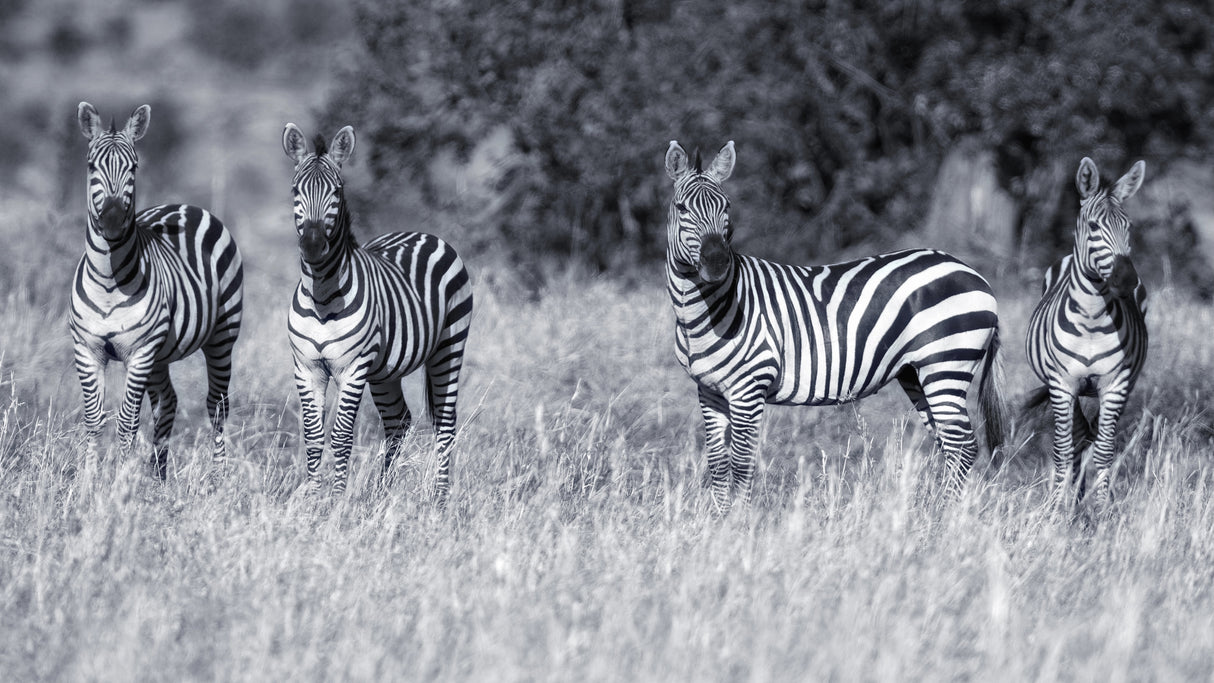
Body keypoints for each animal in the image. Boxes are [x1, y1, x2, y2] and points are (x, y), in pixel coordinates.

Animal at [71, 102, 244, 479]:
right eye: (91, 166)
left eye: (134, 167)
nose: (111, 221)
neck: (108, 281)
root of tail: (187, 205)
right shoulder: (87, 350)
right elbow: (94, 420)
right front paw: (88, 483)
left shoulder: (139, 353)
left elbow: (126, 422)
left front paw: (118, 482)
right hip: (161, 355)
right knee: (168, 402)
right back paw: (158, 477)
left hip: (221, 336)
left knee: (217, 405)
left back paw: (218, 479)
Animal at [282, 124, 473, 498]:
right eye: (296, 190)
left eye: (337, 192)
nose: (312, 245)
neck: (321, 295)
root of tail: (422, 233)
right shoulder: (306, 367)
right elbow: (313, 437)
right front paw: (311, 499)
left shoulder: (353, 368)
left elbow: (341, 437)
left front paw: (336, 500)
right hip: (386, 371)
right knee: (399, 420)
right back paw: (383, 495)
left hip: (449, 346)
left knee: (445, 424)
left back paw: (440, 499)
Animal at [664, 140, 1005, 513]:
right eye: (681, 208)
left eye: (726, 206)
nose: (717, 264)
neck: (704, 312)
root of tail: (971, 272)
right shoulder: (709, 391)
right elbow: (717, 461)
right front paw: (718, 519)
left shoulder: (748, 388)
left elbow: (740, 463)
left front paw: (738, 520)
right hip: (916, 374)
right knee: (951, 444)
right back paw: (938, 513)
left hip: (946, 364)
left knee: (963, 443)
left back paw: (944, 516)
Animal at [1025, 157, 1147, 512]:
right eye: (1094, 227)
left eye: (1129, 227)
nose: (1127, 280)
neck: (1093, 319)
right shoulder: (1062, 384)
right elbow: (1062, 450)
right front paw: (1055, 509)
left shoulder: (1116, 384)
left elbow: (1105, 450)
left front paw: (1103, 509)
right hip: (1072, 390)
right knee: (1078, 437)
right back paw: (1073, 500)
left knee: (1092, 436)